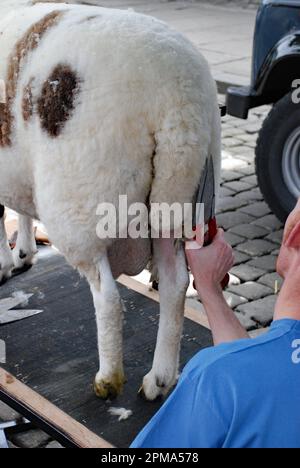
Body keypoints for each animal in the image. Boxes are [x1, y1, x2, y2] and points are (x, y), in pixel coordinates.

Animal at [0, 1, 220, 400]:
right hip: (175, 192)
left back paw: (108, 379)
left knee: (107, 296)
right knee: (176, 282)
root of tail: (177, 98)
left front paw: (7, 263)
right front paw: (23, 251)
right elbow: (18, 210)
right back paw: (159, 378)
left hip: (85, 201)